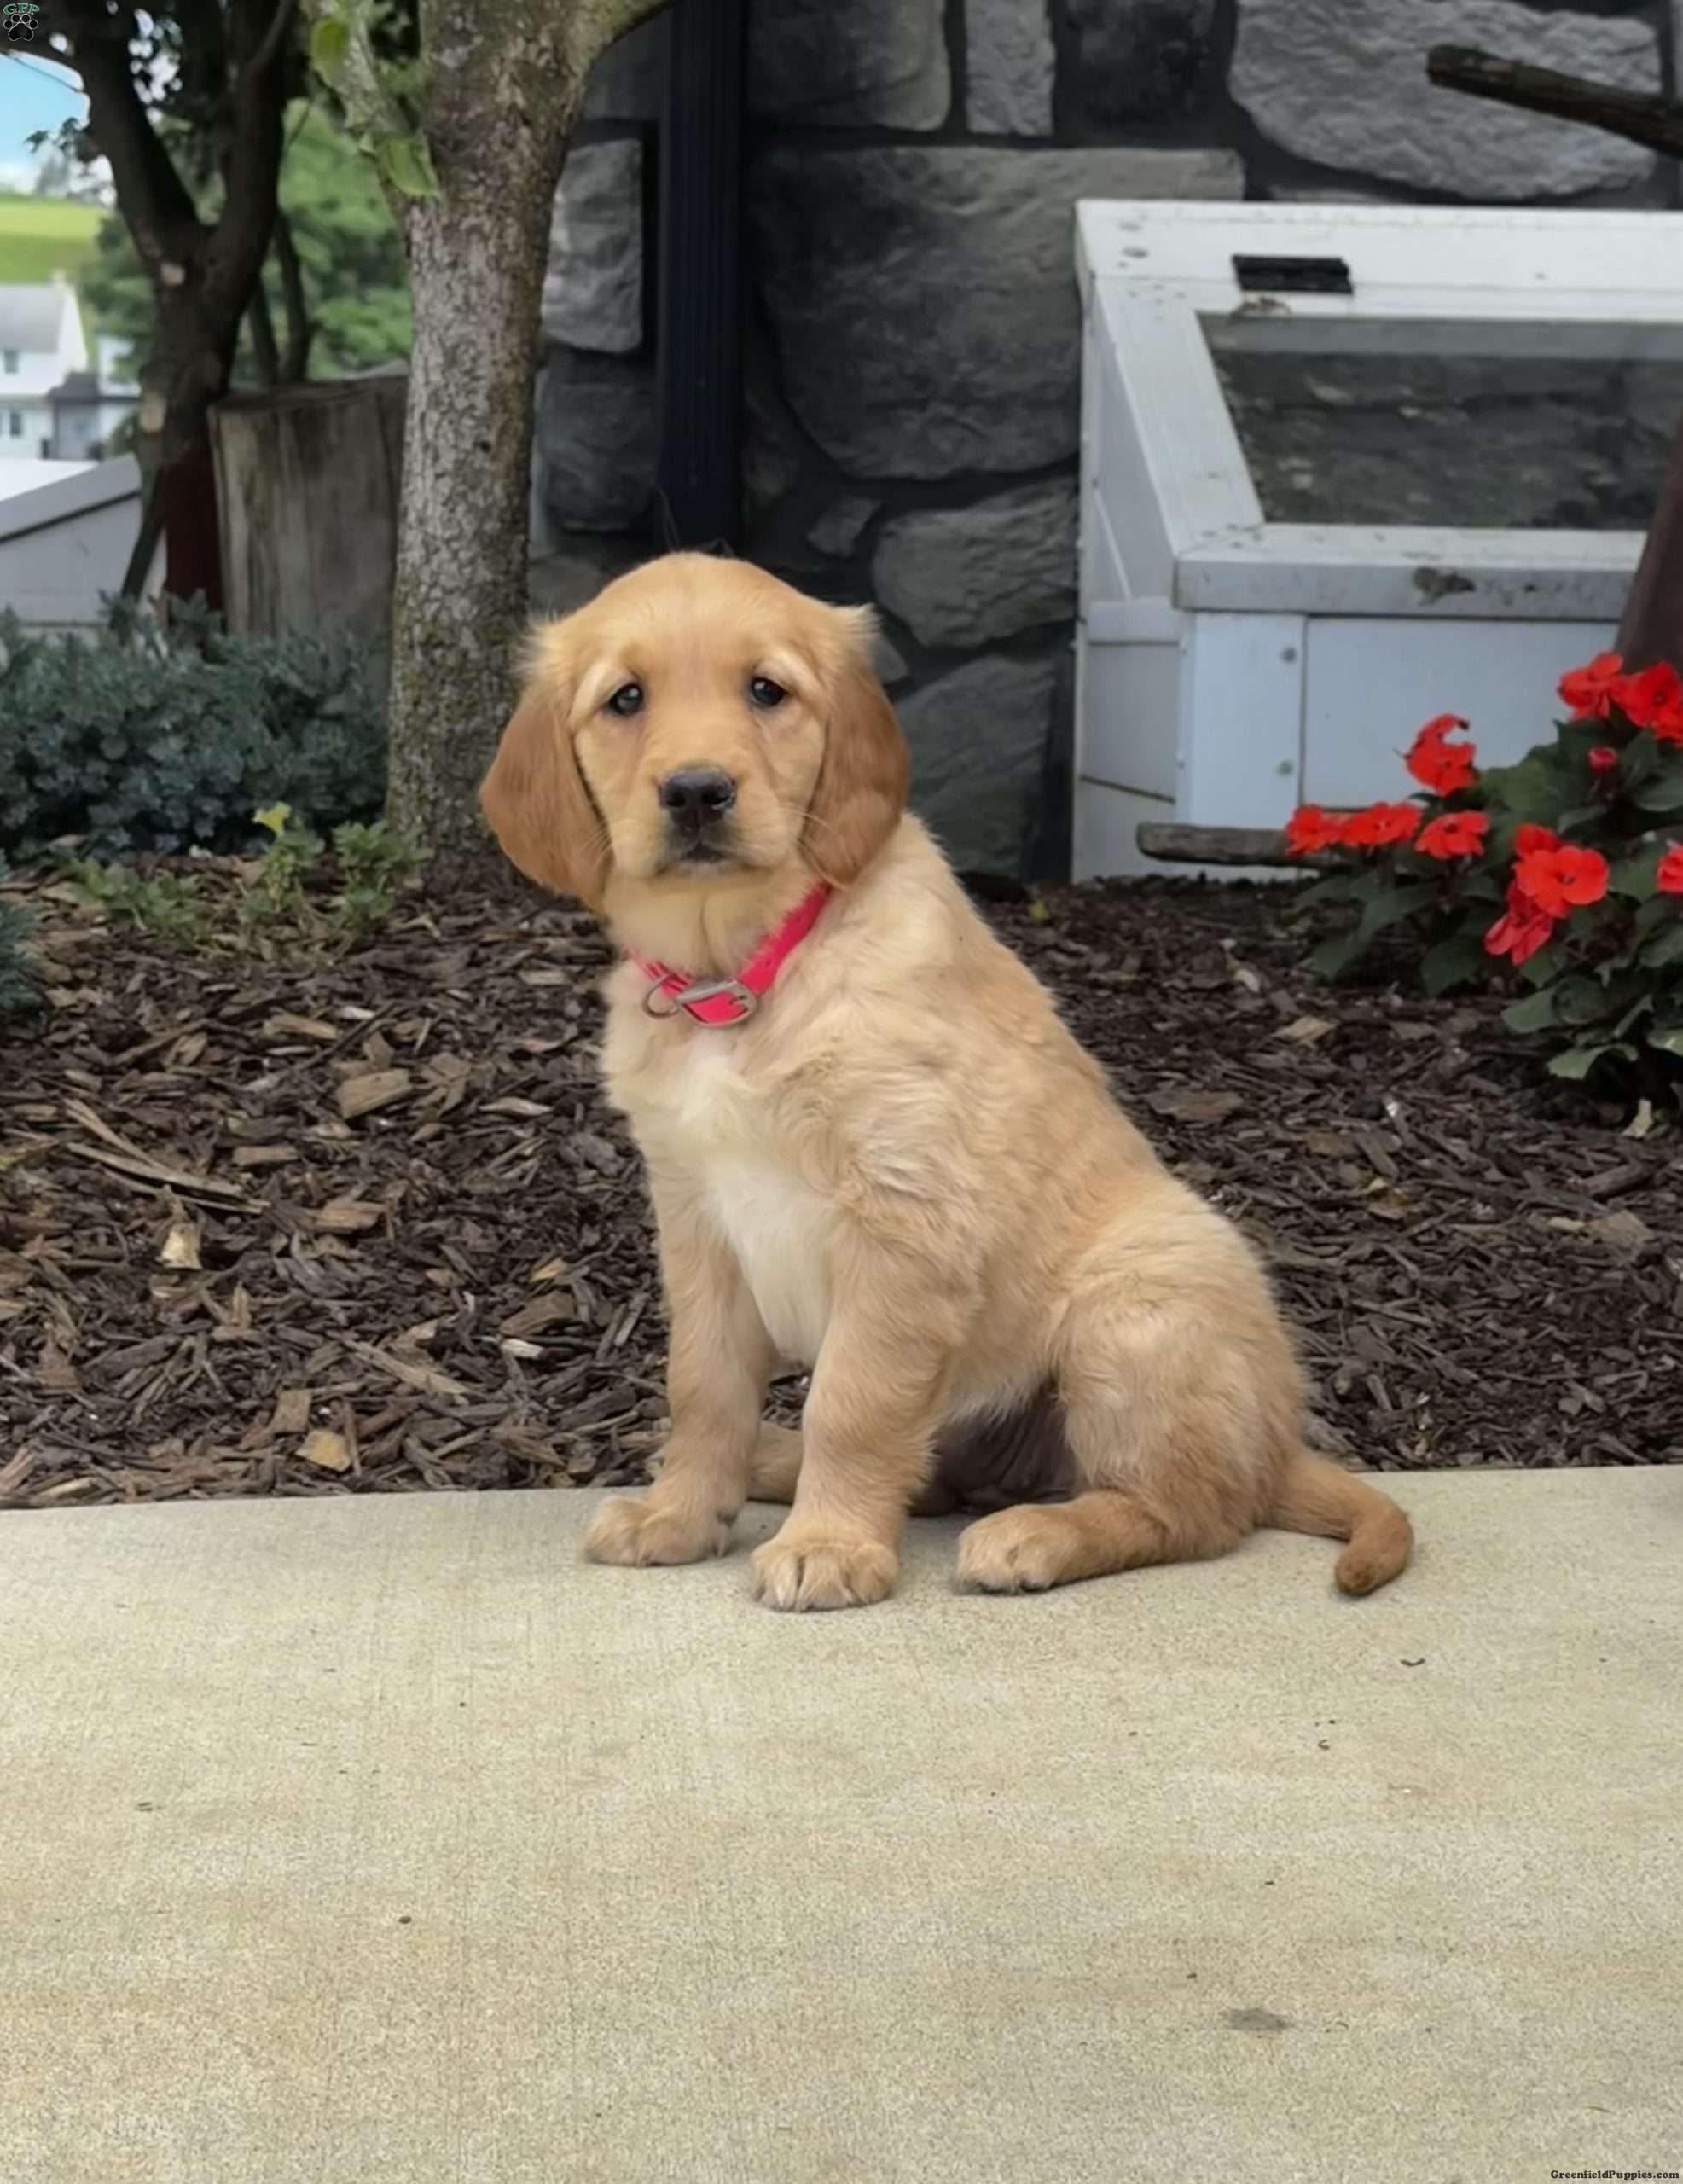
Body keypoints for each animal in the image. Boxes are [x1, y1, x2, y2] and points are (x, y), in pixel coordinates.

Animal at [479, 555, 1414, 1616]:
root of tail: (1272, 1444)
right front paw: (678, 1515)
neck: (747, 973)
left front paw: (828, 1546)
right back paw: (776, 1461)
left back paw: (1035, 1534)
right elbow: (703, 1386)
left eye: (766, 690)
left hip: (1134, 1306)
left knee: (1192, 1510)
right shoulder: (695, 1218)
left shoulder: (904, 1219)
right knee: (938, 1470)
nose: (696, 792)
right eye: (625, 700)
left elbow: (850, 1400)